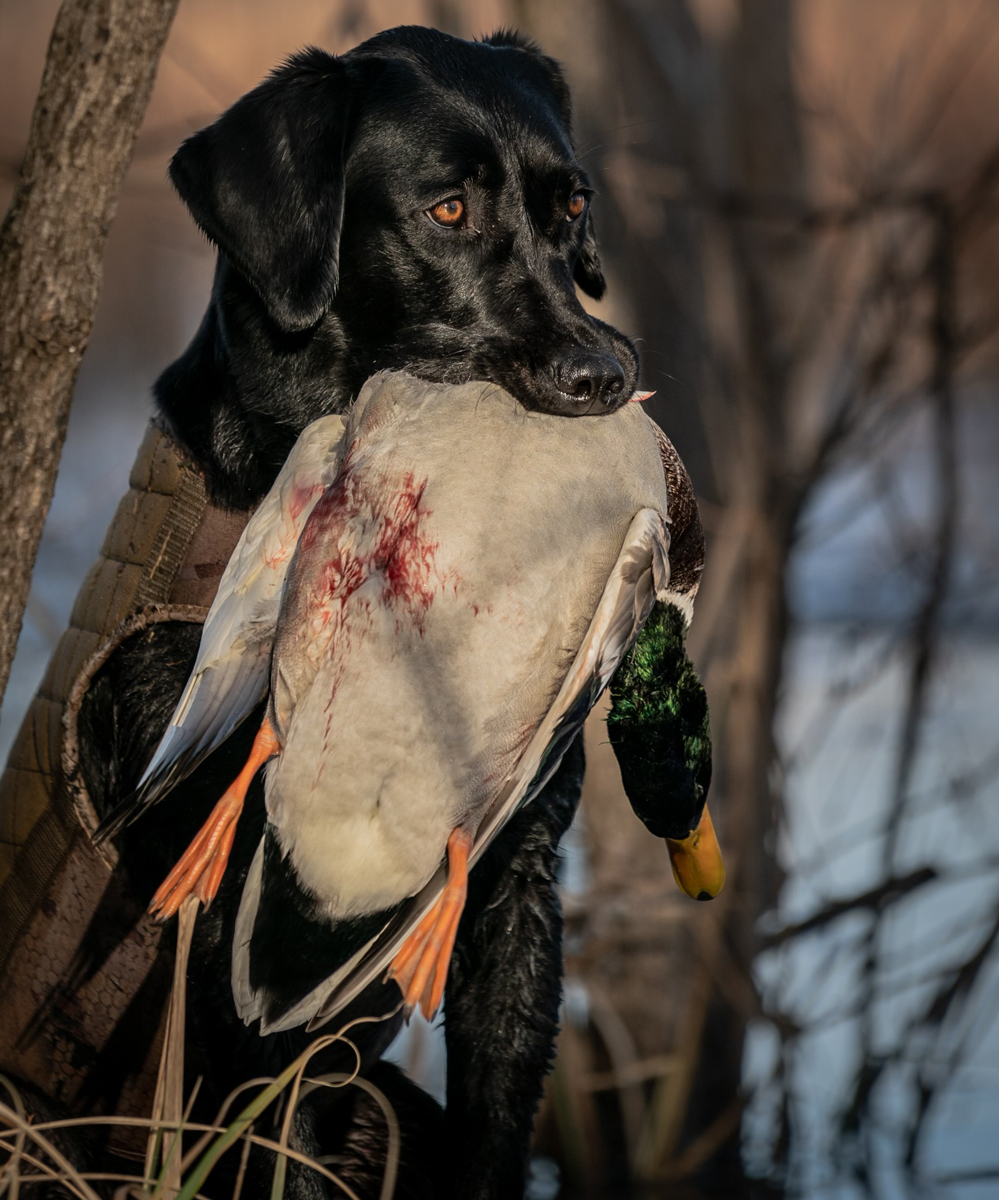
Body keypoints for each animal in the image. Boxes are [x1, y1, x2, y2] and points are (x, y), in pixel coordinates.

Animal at [78, 25, 648, 1200]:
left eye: (572, 204)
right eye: (446, 210)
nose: (605, 373)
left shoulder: (517, 885)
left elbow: (494, 1128)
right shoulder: (245, 930)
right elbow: (274, 1136)